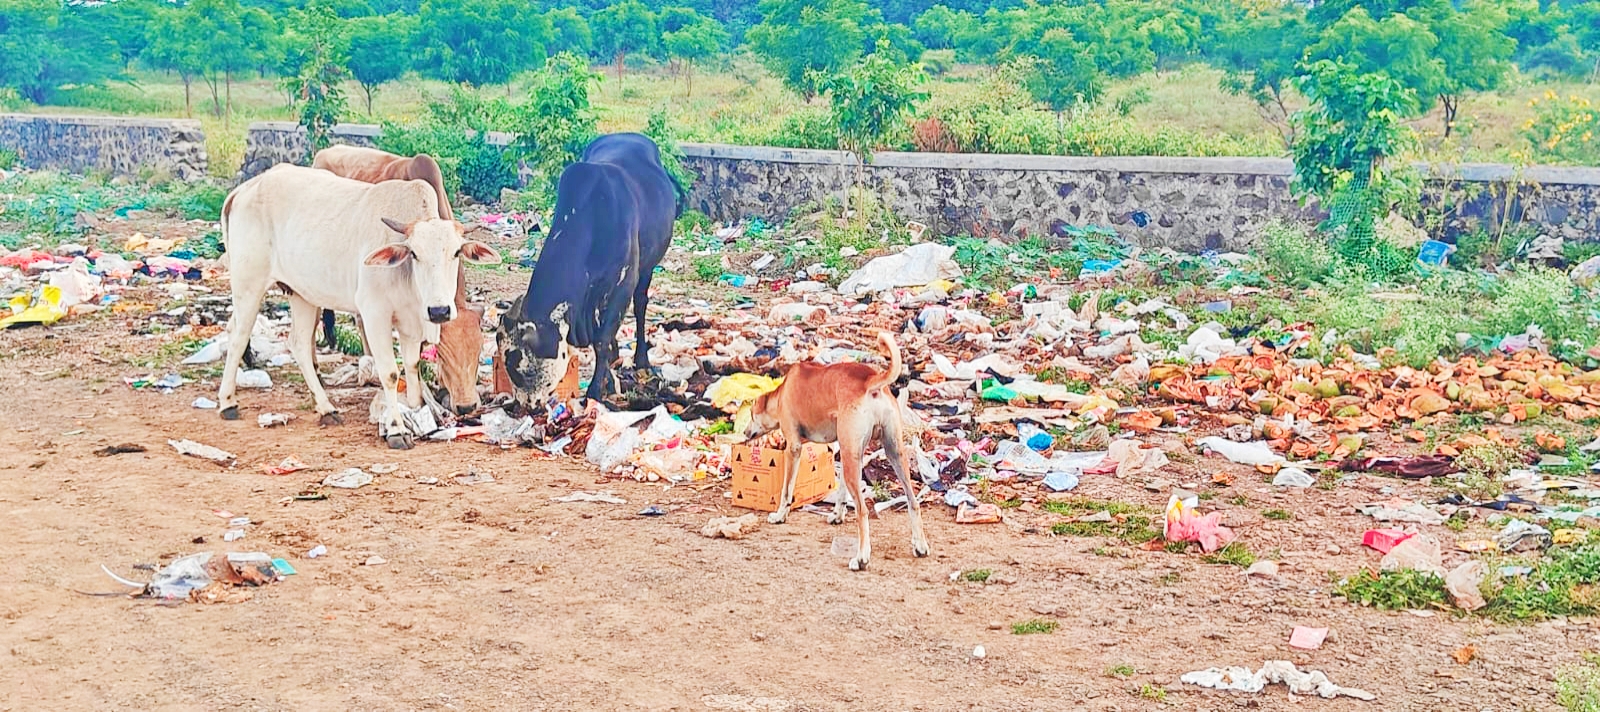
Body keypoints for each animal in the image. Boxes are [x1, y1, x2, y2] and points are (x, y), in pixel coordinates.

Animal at [216, 164, 496, 448]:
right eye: (414, 254)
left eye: (457, 252)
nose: (439, 311)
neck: (410, 281)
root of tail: (243, 190)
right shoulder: (375, 315)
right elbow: (390, 373)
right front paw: (396, 429)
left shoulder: (411, 323)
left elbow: (412, 367)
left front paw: (417, 412)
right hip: (248, 284)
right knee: (238, 335)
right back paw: (228, 403)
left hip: (301, 294)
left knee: (298, 344)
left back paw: (326, 408)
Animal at [505, 130, 681, 401]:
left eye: (520, 367)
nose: (524, 406)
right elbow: (599, 337)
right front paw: (608, 379)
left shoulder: (623, 283)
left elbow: (601, 339)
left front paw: (596, 390)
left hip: (646, 268)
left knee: (641, 305)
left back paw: (642, 360)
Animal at [745, 329, 934, 569]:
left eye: (751, 414)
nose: (744, 432)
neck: (781, 393)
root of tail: (870, 382)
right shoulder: (842, 451)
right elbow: (842, 490)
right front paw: (837, 515)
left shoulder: (793, 449)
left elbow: (786, 491)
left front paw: (779, 516)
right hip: (890, 453)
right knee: (913, 502)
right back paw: (920, 545)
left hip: (858, 456)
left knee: (862, 511)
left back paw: (861, 558)